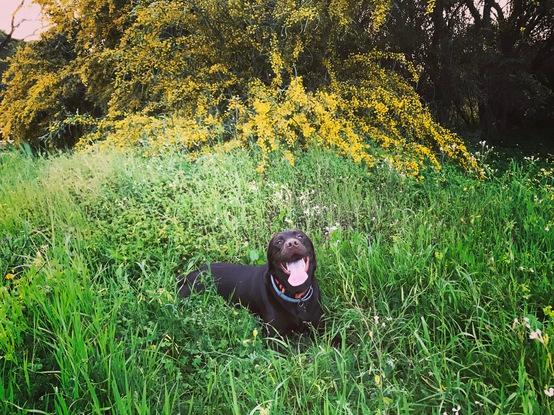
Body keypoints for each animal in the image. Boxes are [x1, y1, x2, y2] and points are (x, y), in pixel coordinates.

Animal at [178, 231, 320, 334]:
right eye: (278, 241)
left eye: (300, 236)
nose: (292, 243)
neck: (296, 295)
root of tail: (189, 275)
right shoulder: (274, 336)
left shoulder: (319, 325)